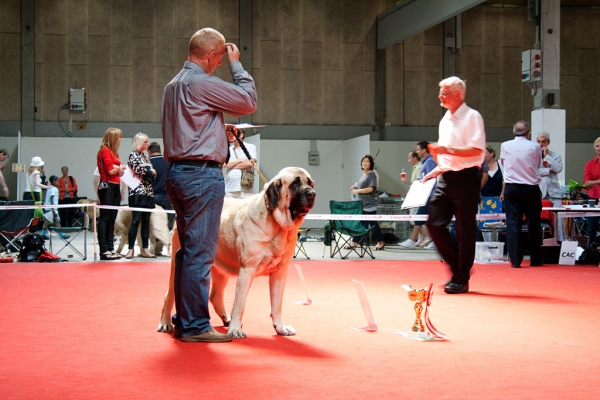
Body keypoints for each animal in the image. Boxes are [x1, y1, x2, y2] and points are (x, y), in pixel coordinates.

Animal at [157, 167, 316, 340]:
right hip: (177, 265)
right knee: (168, 295)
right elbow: (239, 304)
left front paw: (280, 328)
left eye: (310, 183)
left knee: (215, 296)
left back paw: (225, 319)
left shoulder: (279, 273)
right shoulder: (247, 271)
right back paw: (166, 323)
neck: (277, 225)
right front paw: (235, 329)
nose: (312, 193)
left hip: (221, 270)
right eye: (295, 183)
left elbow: (276, 304)